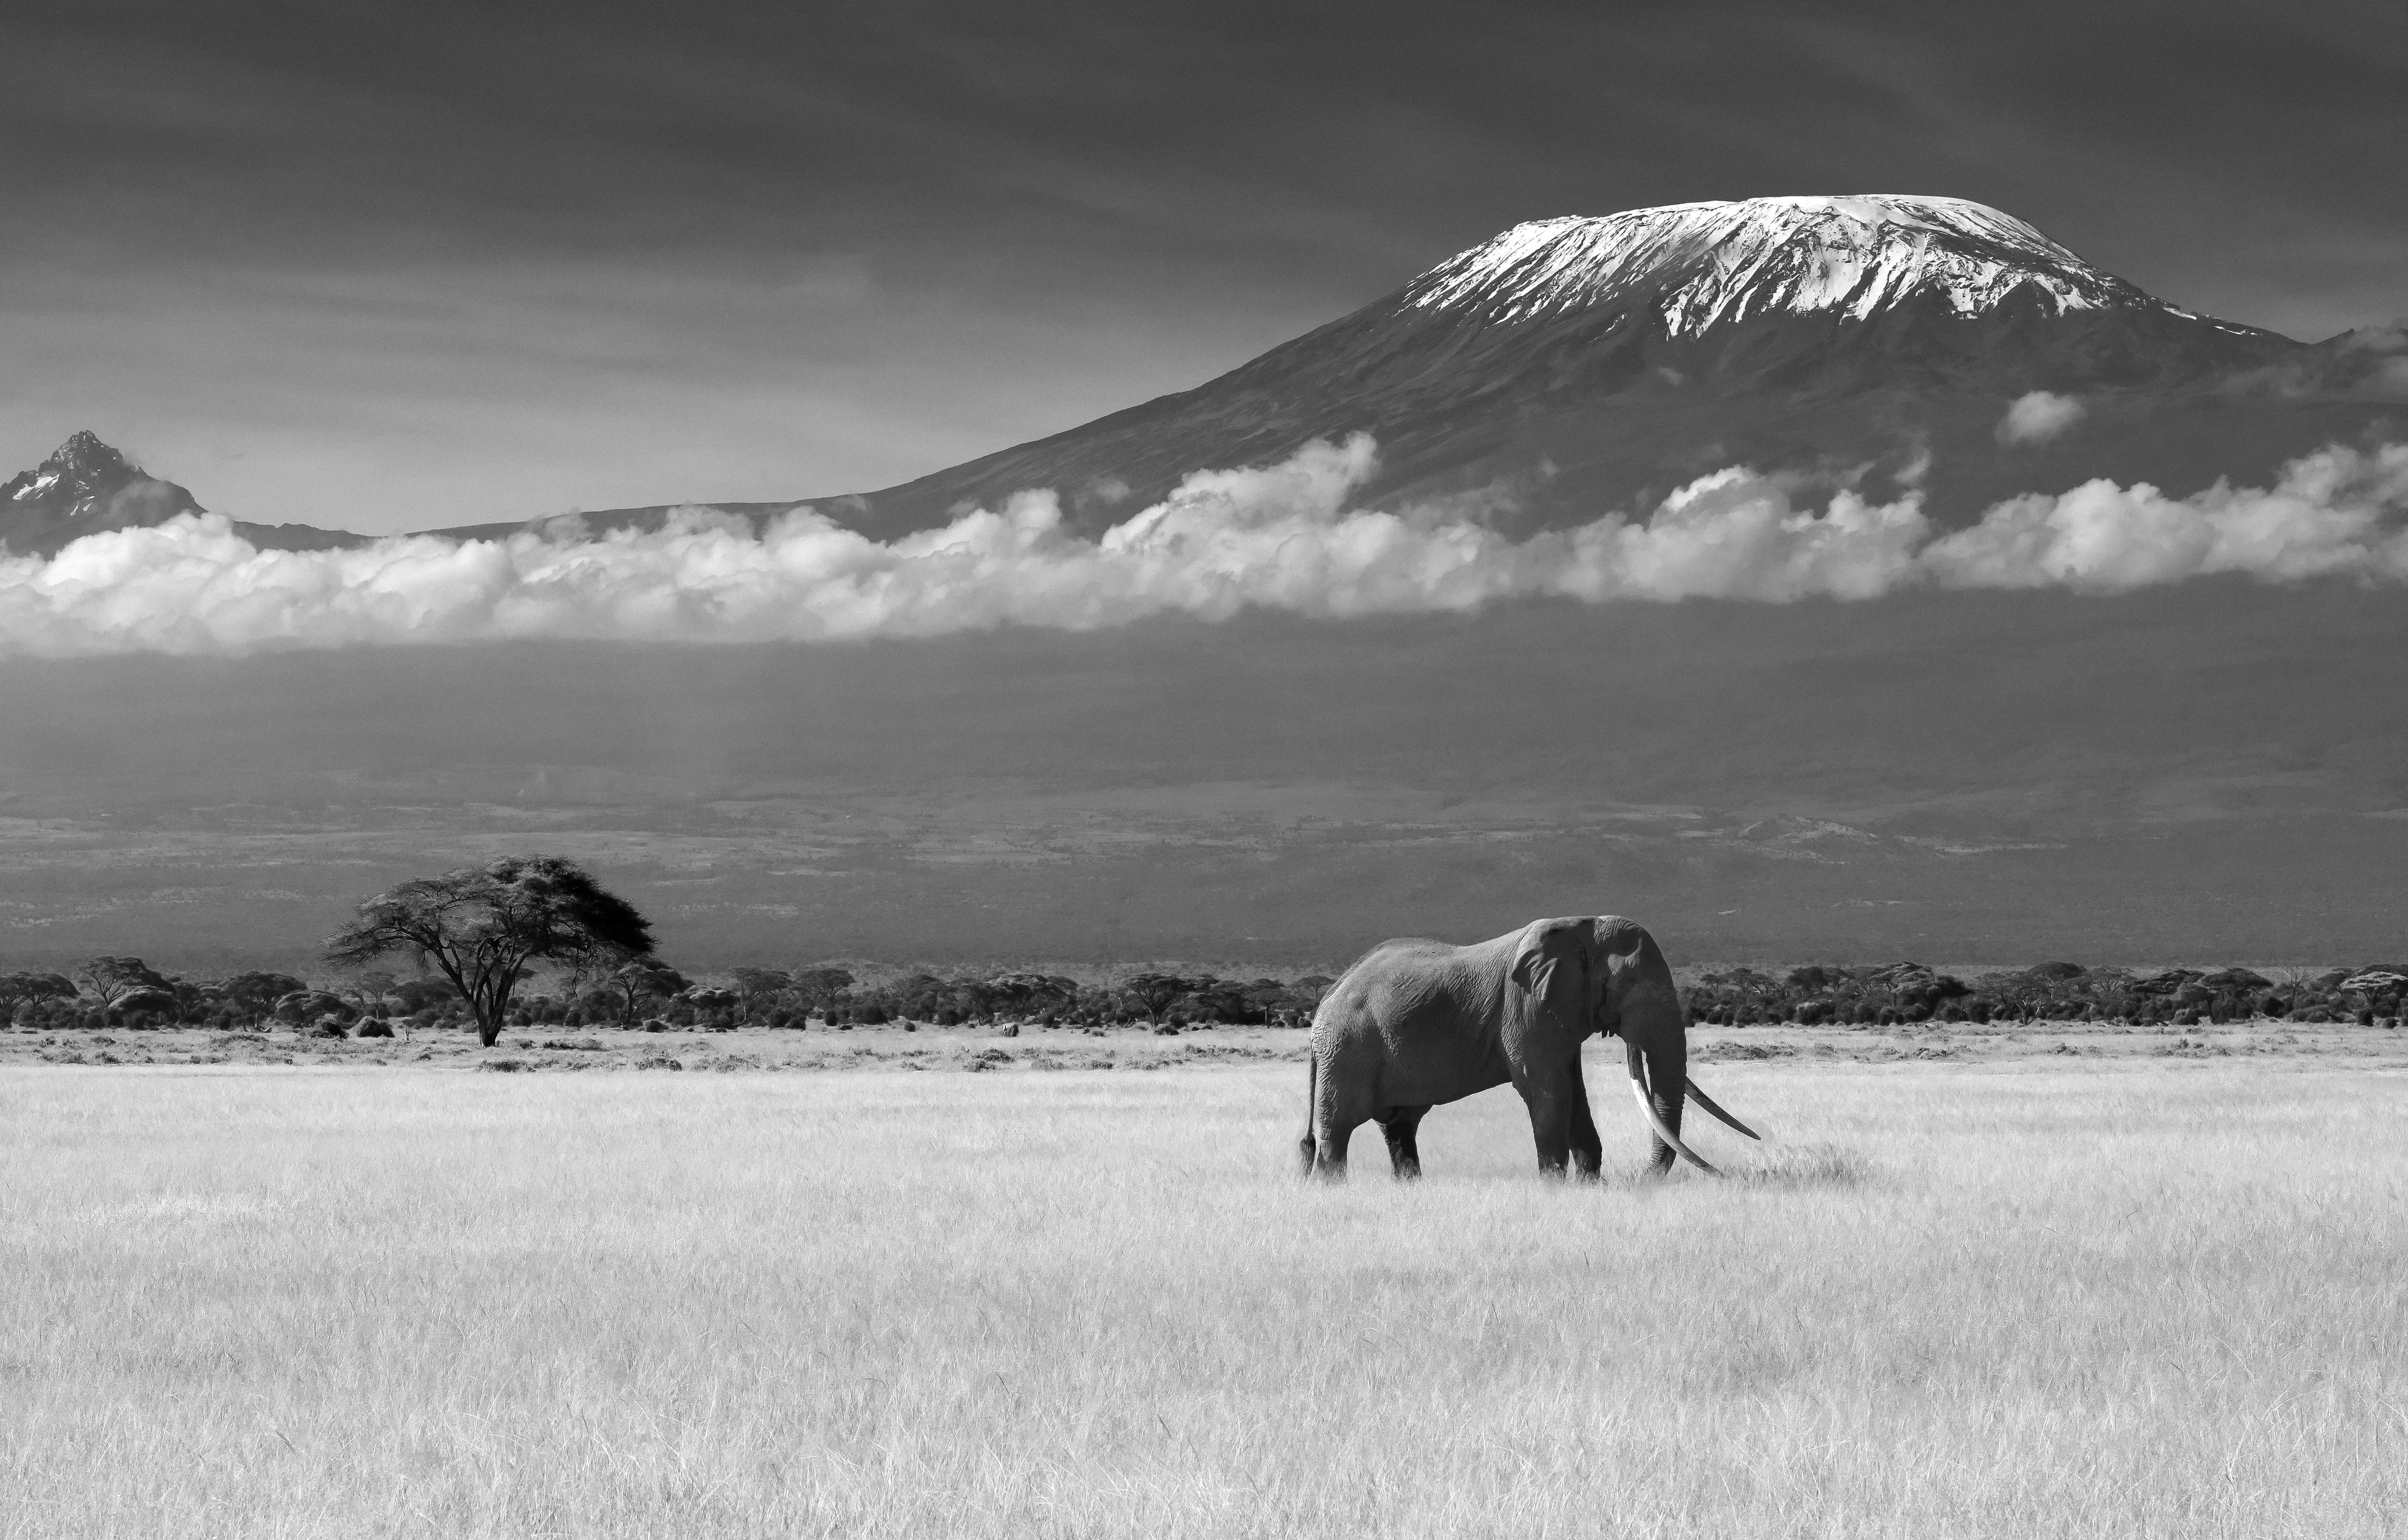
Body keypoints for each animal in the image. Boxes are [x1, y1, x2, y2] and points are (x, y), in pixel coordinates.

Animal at [1300, 914, 1753, 1179]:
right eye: (1625, 985)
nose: (1643, 1181)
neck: (1579, 928)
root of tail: (1328, 997)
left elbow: (1575, 1094)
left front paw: (1589, 1186)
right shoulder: (1526, 1007)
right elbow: (1548, 1091)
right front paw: (1555, 1186)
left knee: (1399, 1128)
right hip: (1347, 1051)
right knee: (1336, 1132)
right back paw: (1331, 1187)